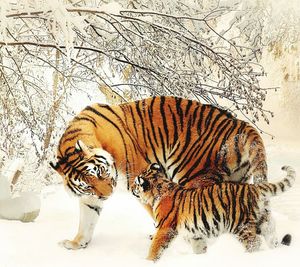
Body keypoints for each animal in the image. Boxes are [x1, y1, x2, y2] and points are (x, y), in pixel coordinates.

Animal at [50, 97, 268, 251]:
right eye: (88, 185)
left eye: (101, 172)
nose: (107, 195)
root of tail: (240, 125)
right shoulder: (90, 197)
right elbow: (87, 218)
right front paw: (77, 243)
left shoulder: (138, 177)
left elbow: (156, 209)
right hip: (235, 181)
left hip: (194, 176)